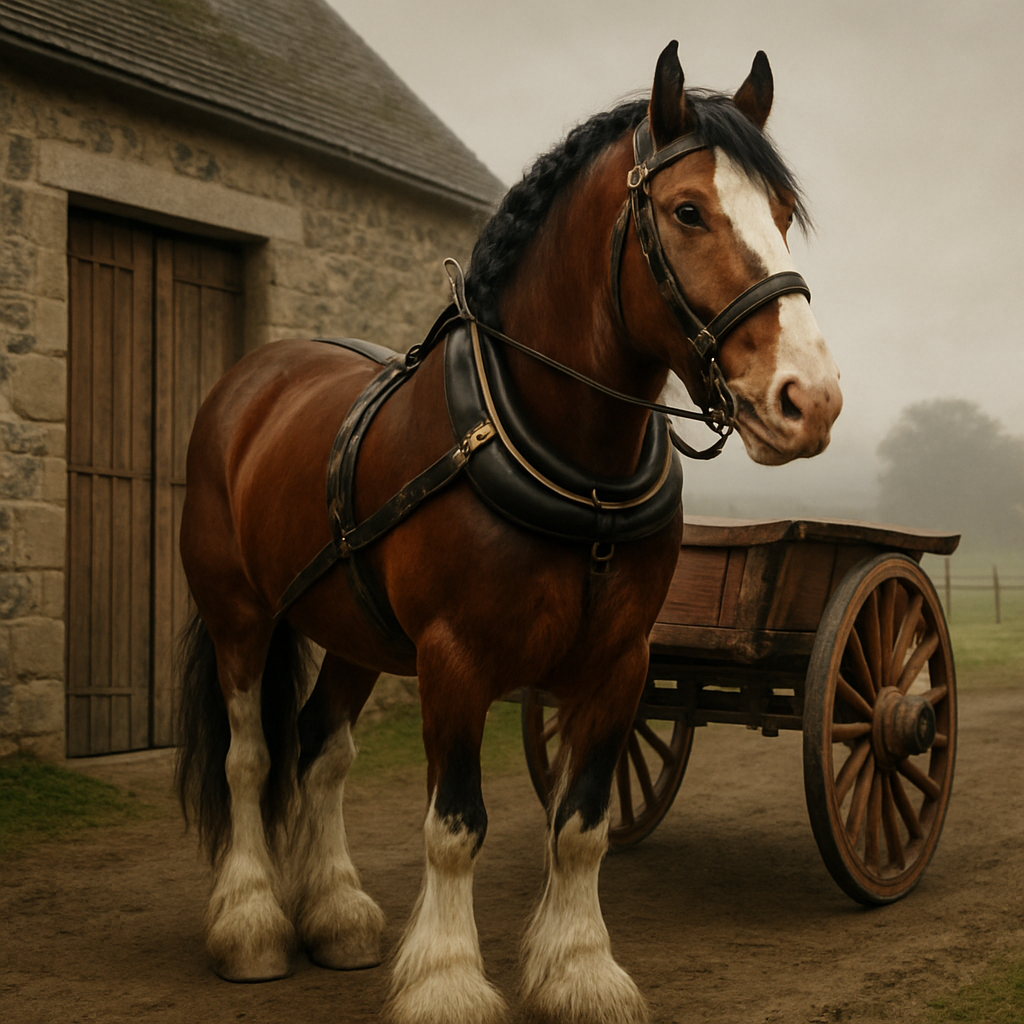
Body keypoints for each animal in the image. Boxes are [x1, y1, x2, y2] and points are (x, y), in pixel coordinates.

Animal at [175, 42, 842, 1024]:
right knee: (253, 757)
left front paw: (579, 969)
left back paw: (334, 913)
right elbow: (456, 826)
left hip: (355, 631)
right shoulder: (454, 658)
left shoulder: (620, 663)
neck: (575, 464)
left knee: (321, 749)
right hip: (240, 616)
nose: (810, 398)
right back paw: (251, 922)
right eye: (688, 210)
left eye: (785, 216)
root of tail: (252, 379)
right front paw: (448, 981)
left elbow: (582, 823)